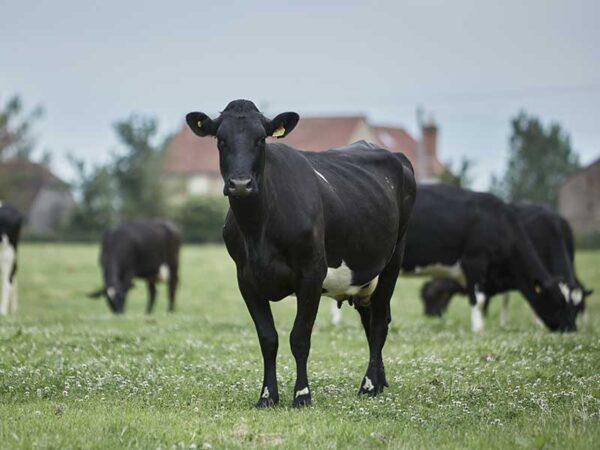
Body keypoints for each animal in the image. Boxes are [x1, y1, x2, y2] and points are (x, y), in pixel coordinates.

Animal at [185, 99, 414, 408]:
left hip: (393, 258)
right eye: (221, 139)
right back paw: (379, 382)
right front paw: (267, 396)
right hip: (365, 274)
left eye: (261, 139)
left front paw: (302, 395)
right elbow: (268, 339)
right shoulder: (246, 279)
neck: (259, 228)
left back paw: (367, 385)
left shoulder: (312, 273)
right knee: (373, 320)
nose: (241, 184)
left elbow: (300, 337)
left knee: (378, 323)